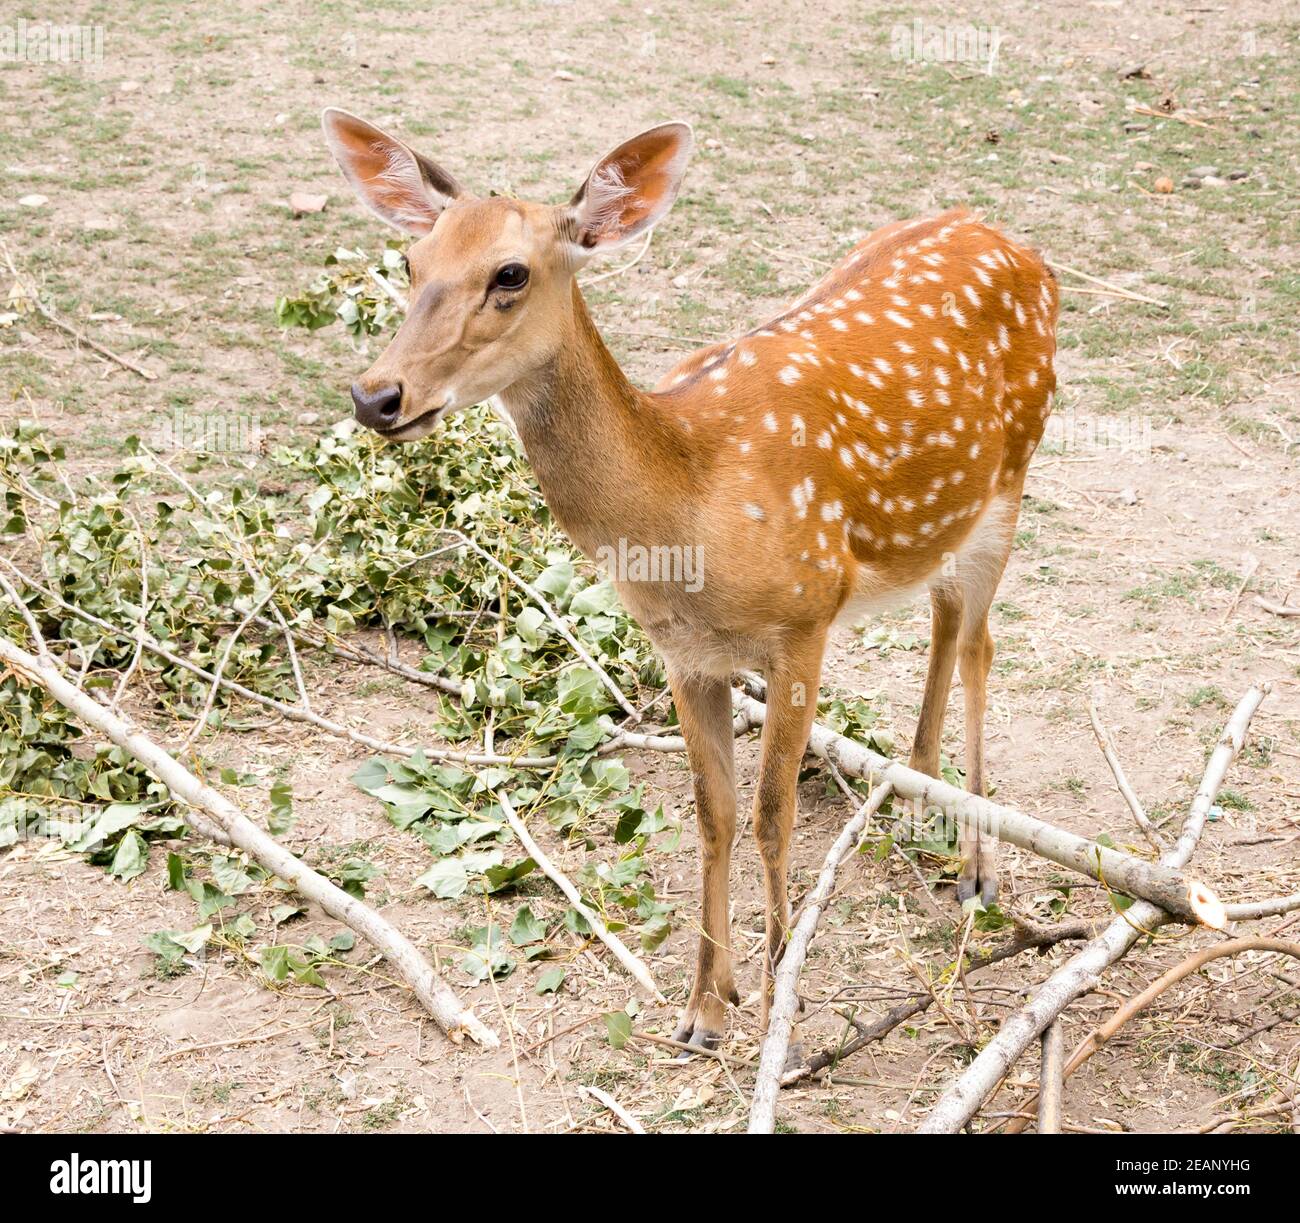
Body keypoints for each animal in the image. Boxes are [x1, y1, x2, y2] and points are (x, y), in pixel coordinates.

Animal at [321, 109, 1059, 1054]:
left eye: (510, 273)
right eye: (412, 262)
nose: (376, 395)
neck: (692, 510)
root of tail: (1014, 242)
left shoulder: (805, 619)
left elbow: (772, 812)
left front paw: (785, 999)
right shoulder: (684, 654)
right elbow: (713, 814)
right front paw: (706, 1006)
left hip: (1015, 472)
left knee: (978, 645)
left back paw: (976, 868)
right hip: (945, 514)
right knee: (942, 614)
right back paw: (913, 803)